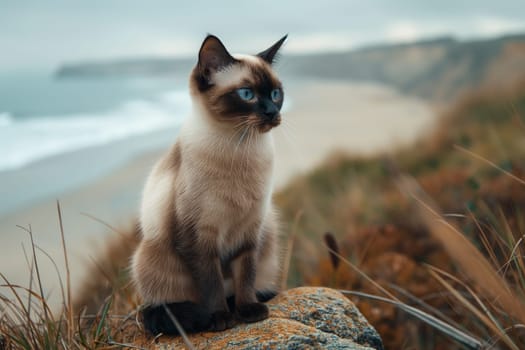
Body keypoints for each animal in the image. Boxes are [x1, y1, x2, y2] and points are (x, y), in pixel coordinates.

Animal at [131, 34, 286, 334]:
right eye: (247, 95)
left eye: (276, 94)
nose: (272, 113)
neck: (241, 147)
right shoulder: (199, 238)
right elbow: (211, 284)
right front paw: (220, 318)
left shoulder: (250, 231)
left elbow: (246, 278)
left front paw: (248, 310)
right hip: (149, 257)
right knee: (162, 307)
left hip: (270, 231)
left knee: (242, 286)